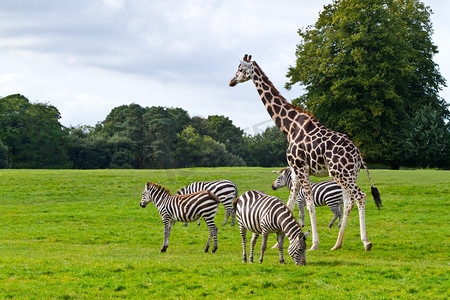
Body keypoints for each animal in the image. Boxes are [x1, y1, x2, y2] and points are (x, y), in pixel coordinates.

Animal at [230, 54, 382, 251]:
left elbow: (310, 204)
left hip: (340, 173)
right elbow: (289, 203)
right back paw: (337, 244)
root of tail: (357, 153)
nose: (231, 81)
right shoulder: (295, 170)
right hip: (349, 174)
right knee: (349, 202)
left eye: (240, 69)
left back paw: (366, 242)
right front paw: (276, 244)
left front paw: (314, 244)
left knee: (360, 196)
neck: (289, 127)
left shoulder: (301, 168)